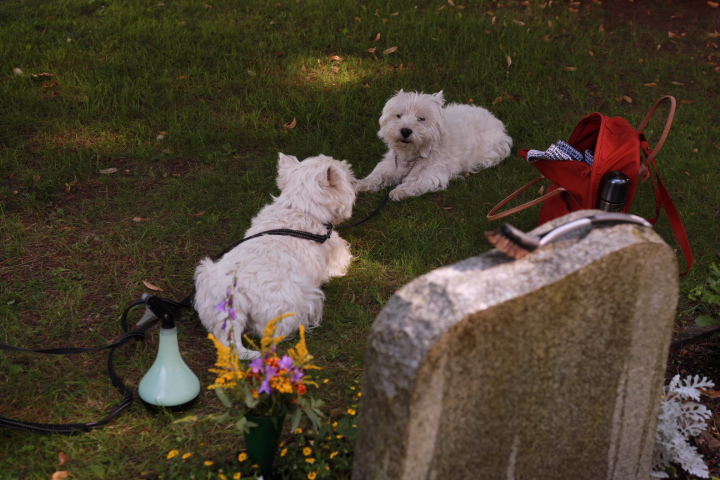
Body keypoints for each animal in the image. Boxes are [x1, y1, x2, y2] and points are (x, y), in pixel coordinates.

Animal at [193, 153, 356, 359]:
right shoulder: (333, 249)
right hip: (296, 301)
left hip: (206, 278)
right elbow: (342, 257)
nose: (355, 181)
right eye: (347, 176)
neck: (299, 208)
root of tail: (234, 301)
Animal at [355, 90, 513, 201]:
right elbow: (377, 175)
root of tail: (493, 117)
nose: (405, 130)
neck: (413, 155)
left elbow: (416, 182)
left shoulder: (432, 174)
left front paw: (398, 191)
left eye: (421, 118)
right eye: (398, 115)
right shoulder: (391, 164)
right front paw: (360, 184)